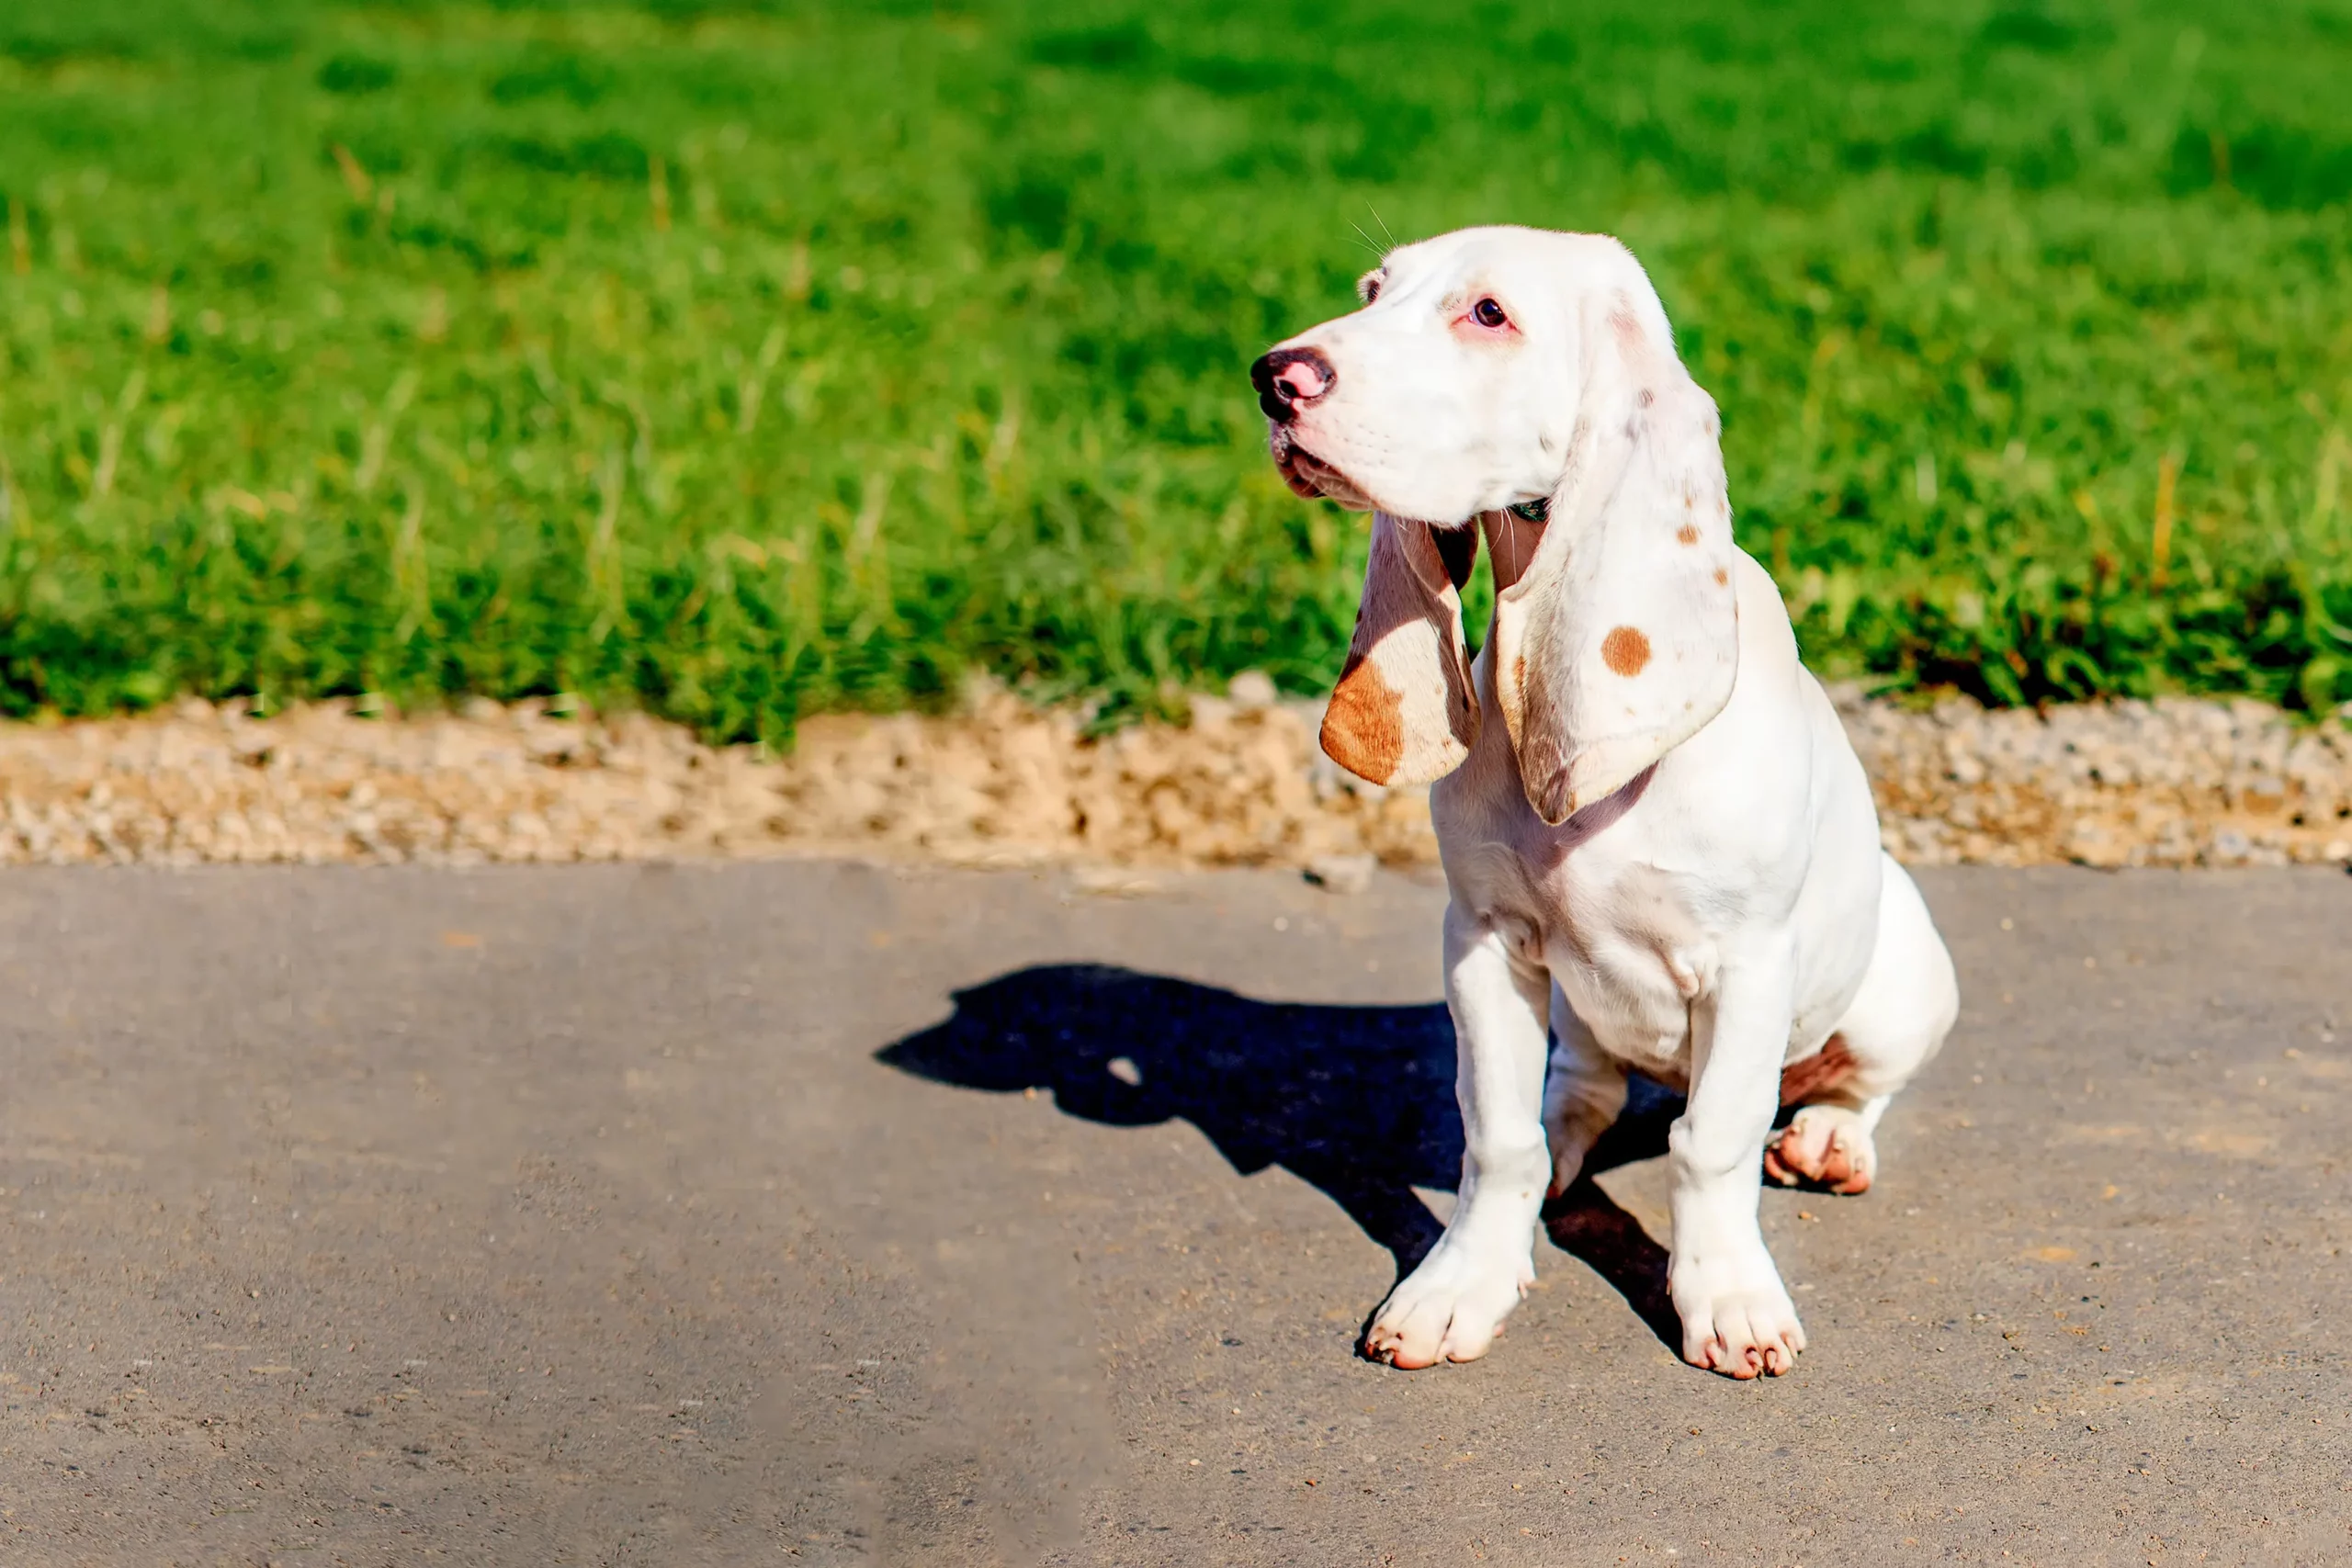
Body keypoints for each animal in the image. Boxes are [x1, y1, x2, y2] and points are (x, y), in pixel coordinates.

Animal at [1250, 226, 1966, 1382]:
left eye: (1488, 313)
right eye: (1370, 290)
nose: (1275, 378)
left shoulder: (1746, 965)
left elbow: (1711, 1144)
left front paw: (1727, 1299)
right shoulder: (1482, 941)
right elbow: (1496, 1137)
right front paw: (1458, 1286)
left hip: (1904, 973)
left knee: (1853, 1084)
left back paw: (1825, 1139)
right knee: (1578, 1095)